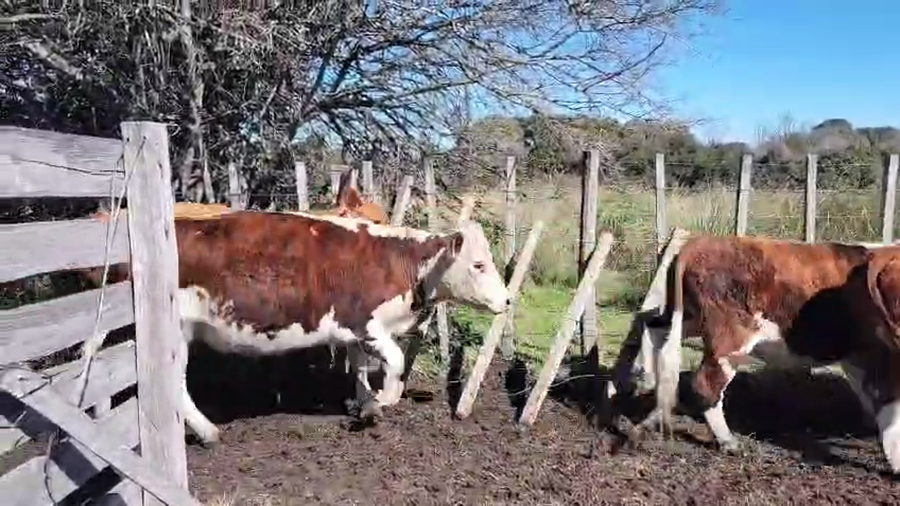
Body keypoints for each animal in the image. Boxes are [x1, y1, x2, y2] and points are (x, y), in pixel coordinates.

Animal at [625, 235, 900, 474]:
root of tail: (700, 242)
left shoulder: (859, 357)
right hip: (730, 334)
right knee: (705, 381)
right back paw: (729, 442)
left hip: (689, 317)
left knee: (653, 327)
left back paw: (647, 385)